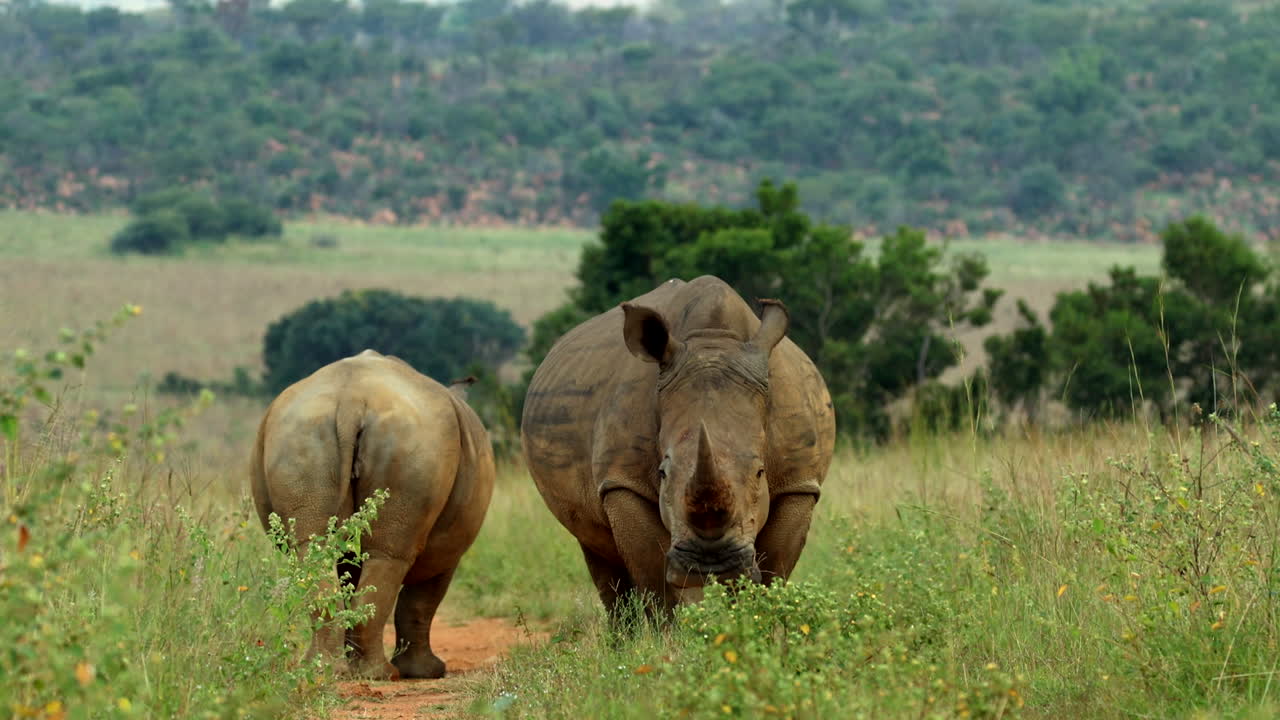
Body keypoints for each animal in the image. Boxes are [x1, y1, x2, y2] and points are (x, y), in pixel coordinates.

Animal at [251, 350, 494, 679]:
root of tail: (350, 402)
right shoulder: (450, 550)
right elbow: (421, 602)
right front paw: (428, 672)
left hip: (300, 434)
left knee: (314, 550)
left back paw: (325, 670)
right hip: (412, 440)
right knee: (390, 557)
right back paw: (382, 674)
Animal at [521, 276, 835, 615]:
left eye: (760, 472)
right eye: (663, 473)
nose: (710, 565)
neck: (713, 340)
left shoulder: (798, 483)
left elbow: (772, 573)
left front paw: (752, 621)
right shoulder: (622, 481)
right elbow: (656, 581)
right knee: (599, 553)